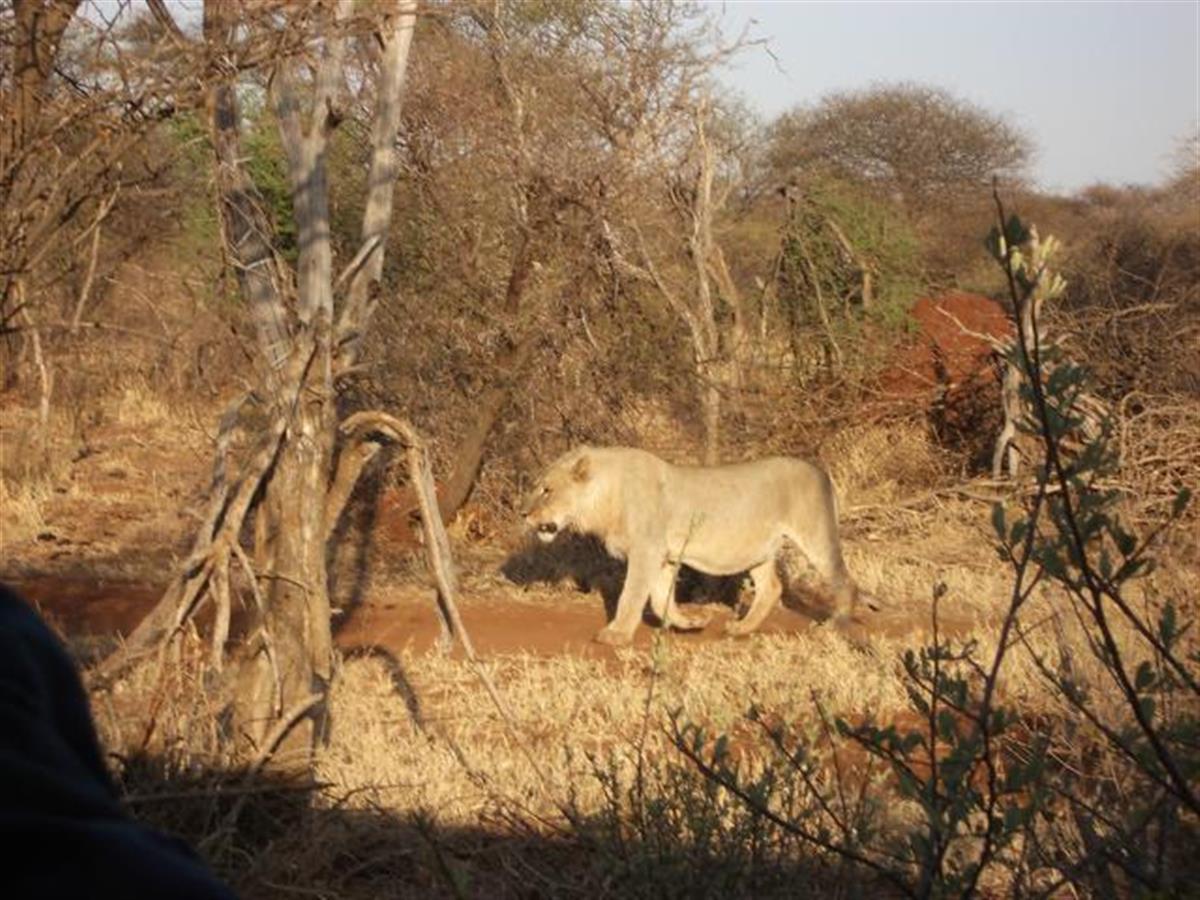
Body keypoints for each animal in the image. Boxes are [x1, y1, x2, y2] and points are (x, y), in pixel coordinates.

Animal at [520, 445, 862, 646]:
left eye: (546, 490)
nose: (524, 514)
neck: (604, 497)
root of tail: (820, 471)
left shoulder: (647, 551)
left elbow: (632, 596)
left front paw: (616, 634)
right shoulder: (663, 556)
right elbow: (661, 598)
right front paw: (692, 622)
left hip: (816, 535)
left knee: (844, 580)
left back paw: (834, 627)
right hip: (759, 549)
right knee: (772, 587)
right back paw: (740, 629)